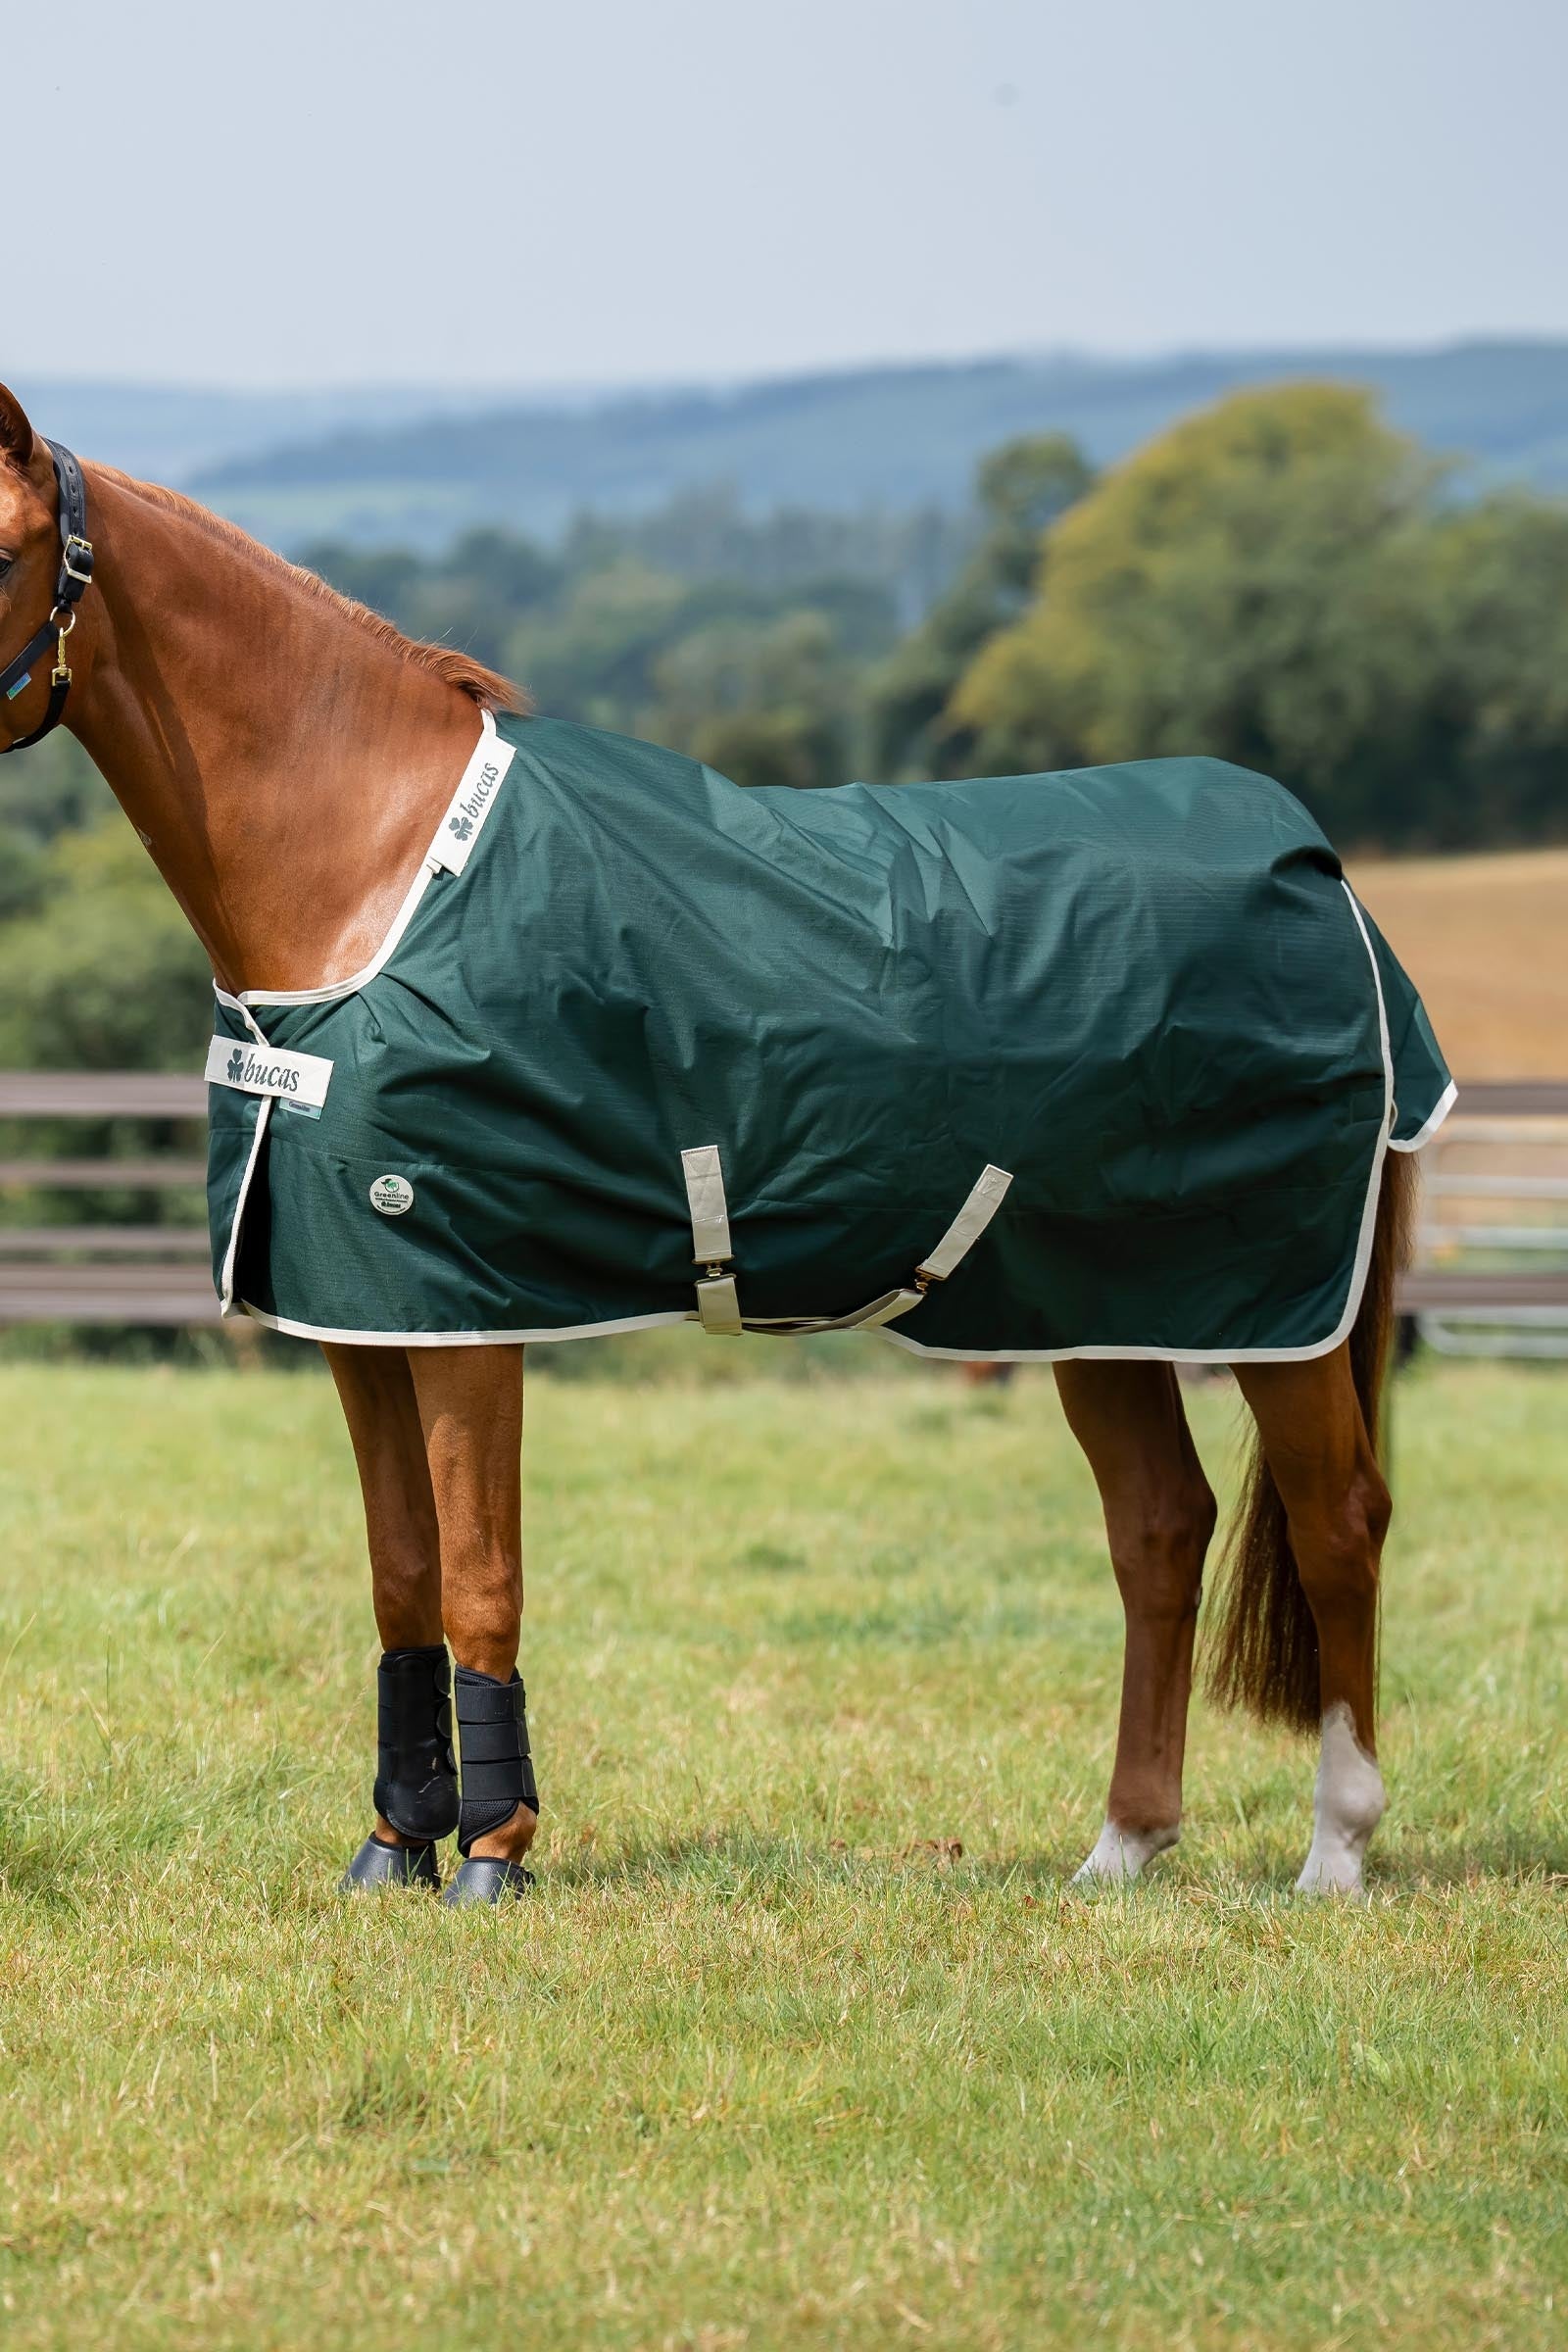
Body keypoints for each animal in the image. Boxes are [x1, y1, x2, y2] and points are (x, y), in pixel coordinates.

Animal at [0, 383, 1443, 1904]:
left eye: (5, 552)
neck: (378, 876)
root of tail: (1327, 878)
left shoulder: (468, 1306)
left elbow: (480, 1573)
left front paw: (495, 1854)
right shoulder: (365, 1314)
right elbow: (401, 1576)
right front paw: (394, 1844)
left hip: (1272, 1305)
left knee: (1339, 1517)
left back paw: (1336, 1850)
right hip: (1096, 1302)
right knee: (1160, 1530)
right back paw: (1122, 1847)